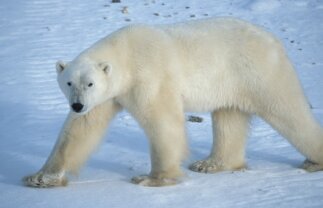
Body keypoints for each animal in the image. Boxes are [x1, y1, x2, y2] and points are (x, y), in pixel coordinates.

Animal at [23, 17, 323, 187]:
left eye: (90, 83)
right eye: (69, 83)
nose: (76, 105)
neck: (126, 53)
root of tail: (273, 40)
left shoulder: (148, 76)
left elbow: (162, 121)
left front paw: (152, 178)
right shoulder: (107, 97)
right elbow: (80, 130)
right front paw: (40, 177)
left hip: (258, 72)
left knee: (289, 111)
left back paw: (313, 160)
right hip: (231, 82)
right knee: (229, 118)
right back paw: (211, 164)